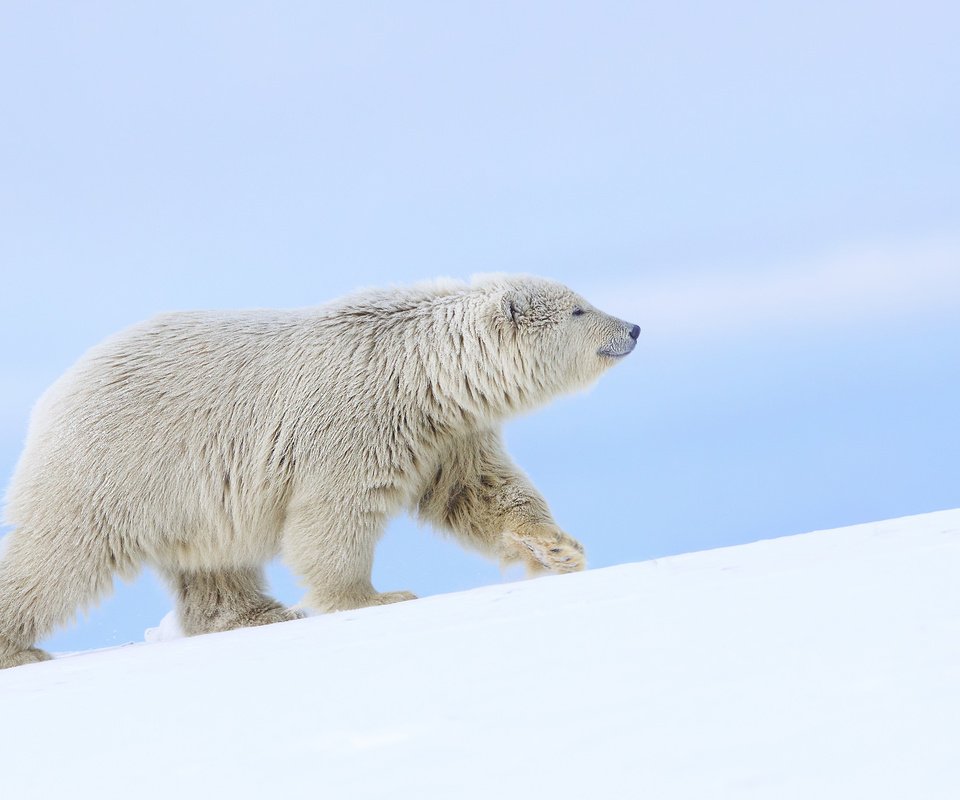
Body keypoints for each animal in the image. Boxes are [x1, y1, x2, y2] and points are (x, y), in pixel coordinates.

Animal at [0, 278, 636, 664]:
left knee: (213, 561)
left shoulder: (447, 434)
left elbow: (480, 493)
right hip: (121, 462)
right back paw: (21, 648)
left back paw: (261, 613)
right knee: (59, 554)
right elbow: (334, 514)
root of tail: (55, 392)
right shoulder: (353, 421)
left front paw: (559, 551)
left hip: (192, 494)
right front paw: (376, 597)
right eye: (578, 308)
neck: (421, 373)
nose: (631, 328)